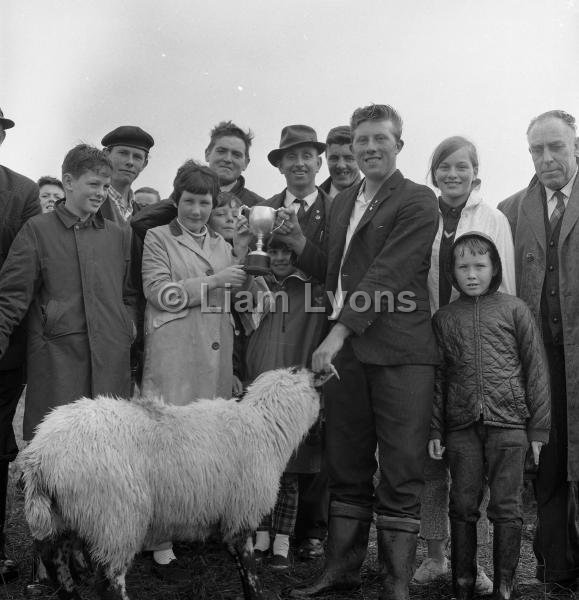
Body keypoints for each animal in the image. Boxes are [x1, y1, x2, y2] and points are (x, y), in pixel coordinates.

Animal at [19, 366, 330, 600]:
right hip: (116, 519)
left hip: (67, 515)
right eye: (320, 393)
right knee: (109, 581)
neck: (265, 425)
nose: (323, 430)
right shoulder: (241, 512)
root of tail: (40, 454)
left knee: (57, 563)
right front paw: (255, 593)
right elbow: (248, 567)